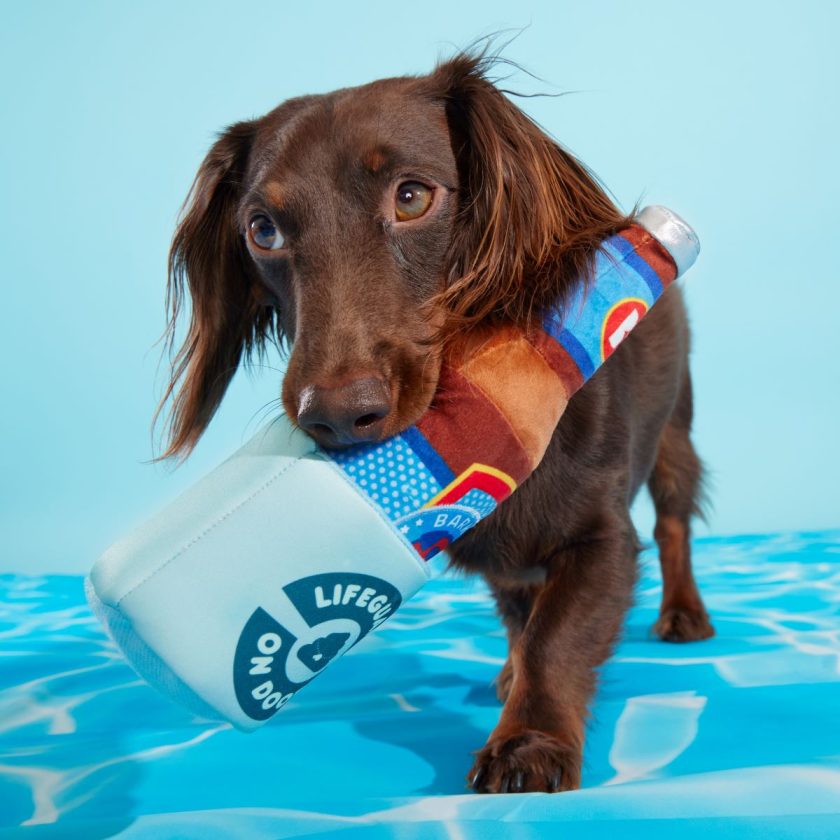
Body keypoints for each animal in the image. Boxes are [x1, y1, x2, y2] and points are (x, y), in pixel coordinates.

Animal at [154, 50, 712, 796]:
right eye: (262, 230)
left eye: (412, 197)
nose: (336, 416)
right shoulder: (495, 545)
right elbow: (524, 620)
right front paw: (515, 688)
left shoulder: (602, 539)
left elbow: (555, 638)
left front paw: (529, 744)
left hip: (675, 434)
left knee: (676, 523)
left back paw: (684, 613)